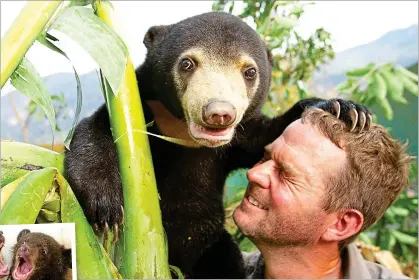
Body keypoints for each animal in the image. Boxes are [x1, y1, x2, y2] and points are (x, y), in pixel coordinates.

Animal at [65, 11, 370, 278]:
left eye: (249, 72)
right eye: (187, 63)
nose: (219, 113)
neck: (185, 136)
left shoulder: (237, 141)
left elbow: (266, 137)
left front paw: (346, 110)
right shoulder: (140, 111)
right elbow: (95, 131)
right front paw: (105, 206)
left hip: (212, 245)